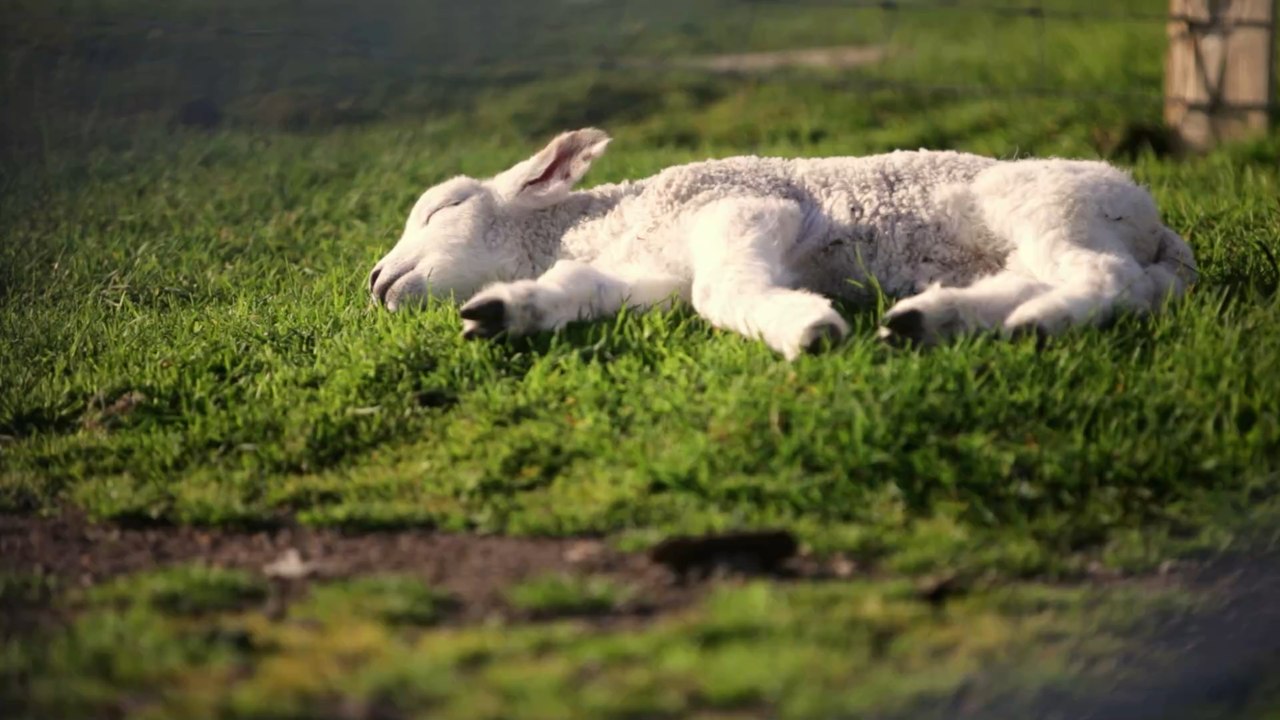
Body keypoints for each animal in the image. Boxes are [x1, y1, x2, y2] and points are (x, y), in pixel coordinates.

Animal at [368, 128, 1197, 358]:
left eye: (443, 208)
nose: (375, 280)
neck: (603, 224)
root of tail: (1162, 230)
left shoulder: (742, 210)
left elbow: (721, 293)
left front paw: (807, 328)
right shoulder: (650, 275)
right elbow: (582, 290)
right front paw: (502, 311)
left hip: (1053, 208)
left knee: (1110, 279)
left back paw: (1039, 325)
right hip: (1030, 240)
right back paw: (930, 320)